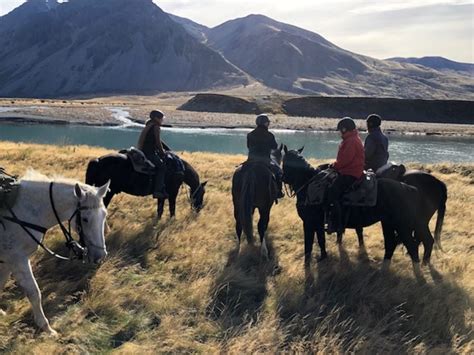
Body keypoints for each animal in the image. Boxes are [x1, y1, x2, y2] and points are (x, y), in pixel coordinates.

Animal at [0, 172, 108, 336]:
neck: (24, 212)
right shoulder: (18, 260)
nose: (100, 255)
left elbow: (1, 284)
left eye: (104, 215)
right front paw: (47, 328)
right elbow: (34, 293)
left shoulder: (7, 261)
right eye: (85, 219)